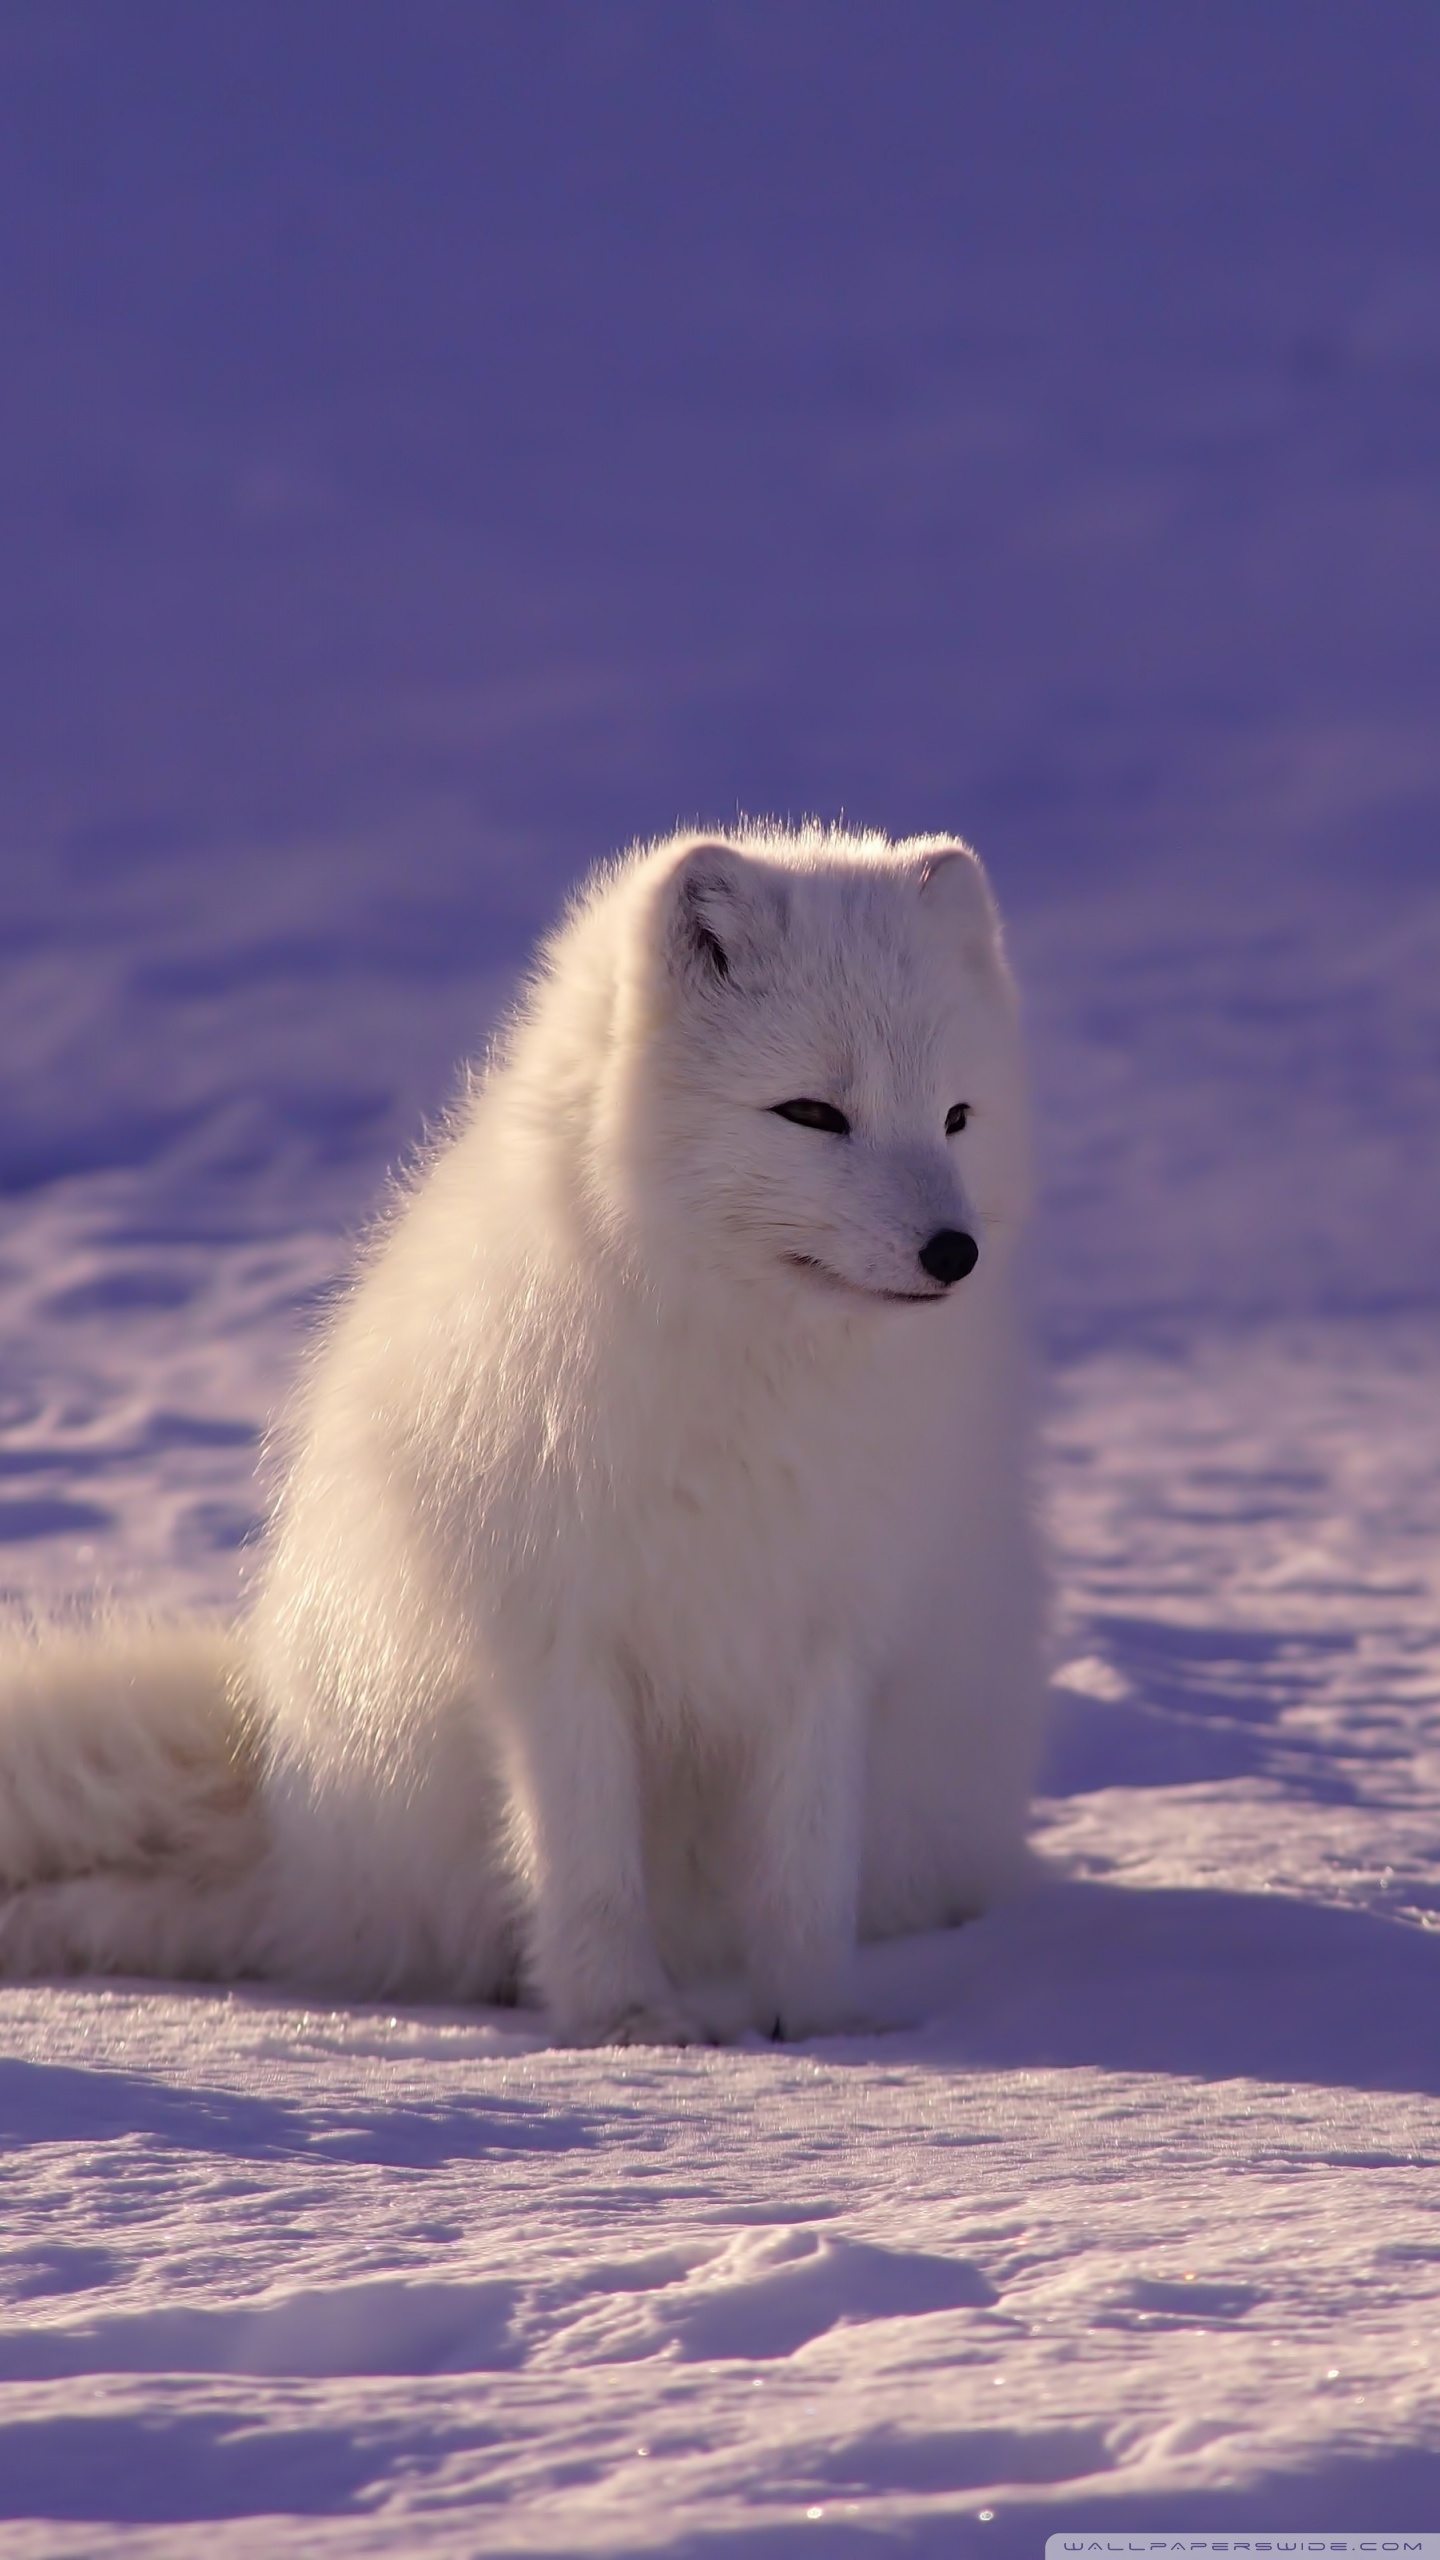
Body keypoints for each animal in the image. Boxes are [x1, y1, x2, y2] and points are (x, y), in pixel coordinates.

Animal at [0, 825, 1045, 2044]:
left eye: (957, 1117)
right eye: (813, 1114)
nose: (953, 1253)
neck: (749, 1376)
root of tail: (291, 1828)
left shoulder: (825, 1638)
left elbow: (805, 1868)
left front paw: (820, 2025)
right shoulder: (553, 1640)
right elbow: (586, 1866)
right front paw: (626, 2023)